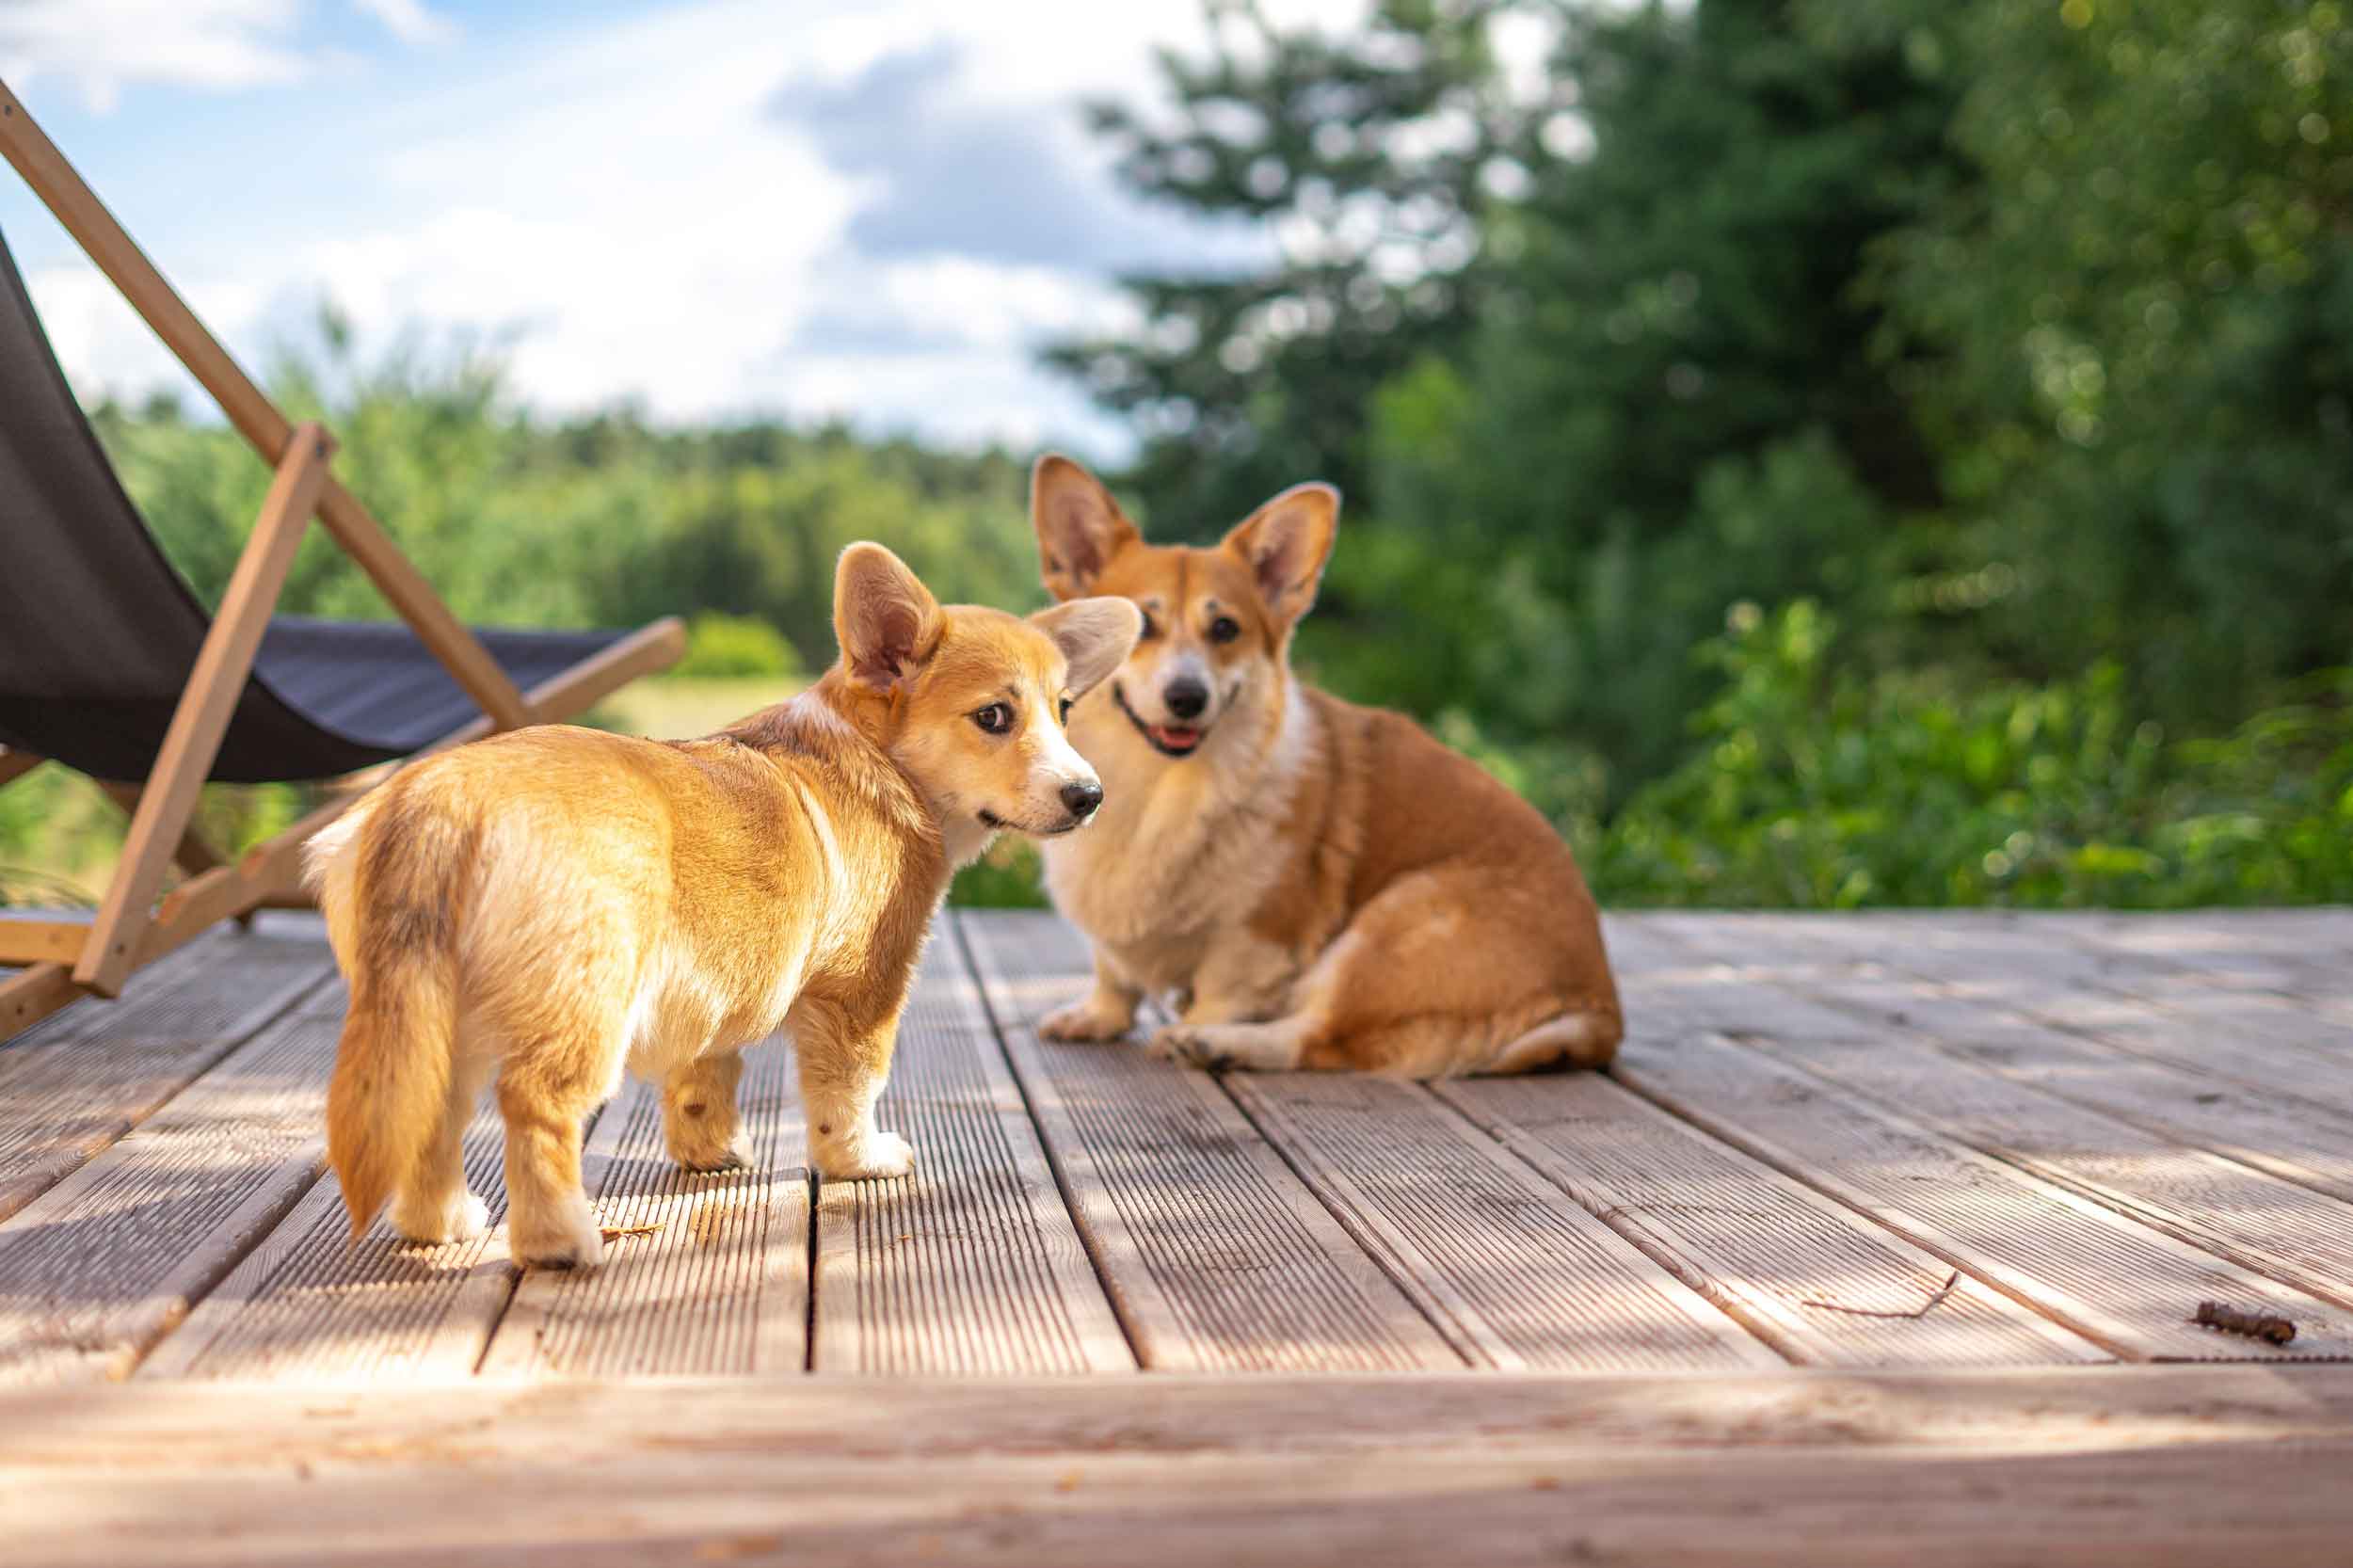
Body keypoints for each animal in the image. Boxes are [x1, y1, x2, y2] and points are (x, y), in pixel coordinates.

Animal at [311, 543, 1139, 1261]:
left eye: (1064, 710)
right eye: (994, 717)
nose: (1090, 796)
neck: (880, 756)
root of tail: (442, 798)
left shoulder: (715, 986)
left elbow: (705, 1082)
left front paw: (710, 1154)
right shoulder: (863, 991)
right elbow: (851, 1089)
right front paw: (862, 1158)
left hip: (427, 1014)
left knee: (432, 1115)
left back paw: (443, 1223)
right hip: (584, 1004)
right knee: (536, 1107)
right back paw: (561, 1243)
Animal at [1026, 452, 1619, 1073]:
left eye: (1225, 629)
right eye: (1143, 625)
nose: (1187, 697)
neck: (1158, 787)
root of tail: (1601, 1011)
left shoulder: (1257, 936)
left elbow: (1221, 992)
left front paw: (1199, 1026)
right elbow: (1113, 975)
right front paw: (1098, 1016)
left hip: (1387, 927)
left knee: (1314, 1035)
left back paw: (1212, 1043)